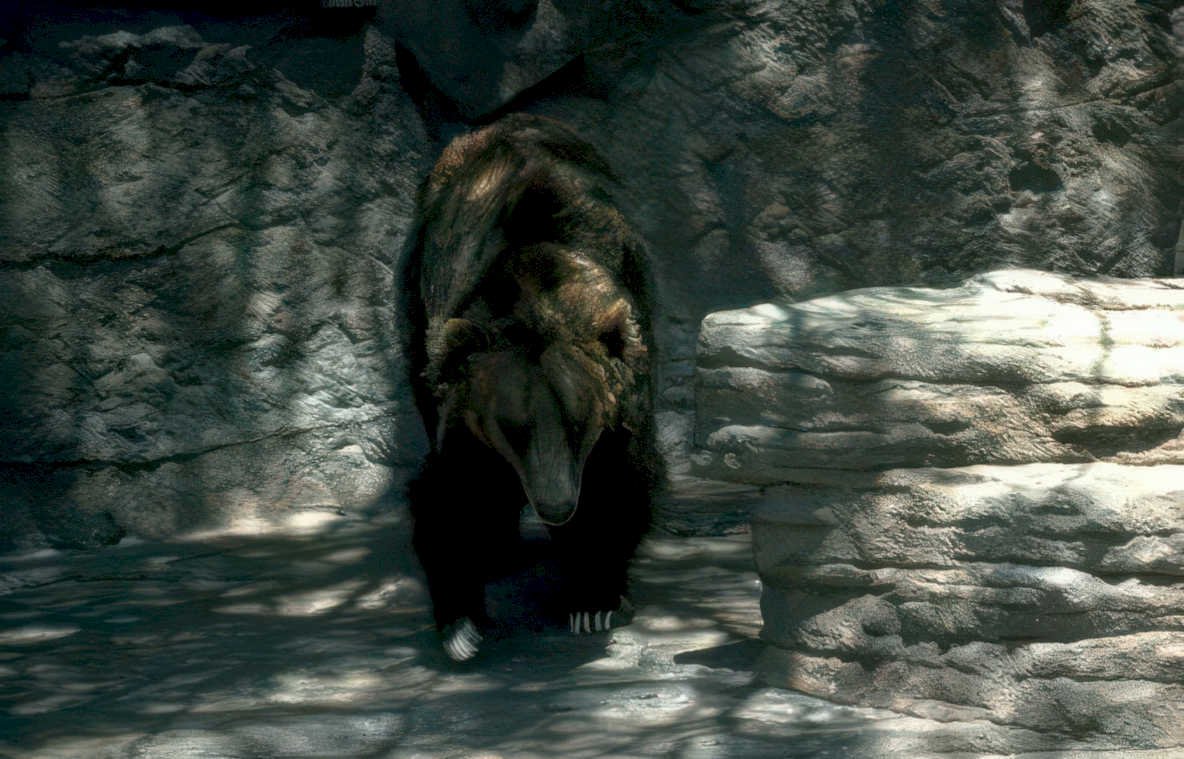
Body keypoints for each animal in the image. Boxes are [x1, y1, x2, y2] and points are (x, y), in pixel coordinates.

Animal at [400, 114, 661, 661]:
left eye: (579, 421)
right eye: (512, 426)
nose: (557, 506)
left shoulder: (623, 399)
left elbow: (619, 483)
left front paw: (593, 601)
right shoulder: (464, 416)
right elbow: (451, 493)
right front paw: (461, 626)